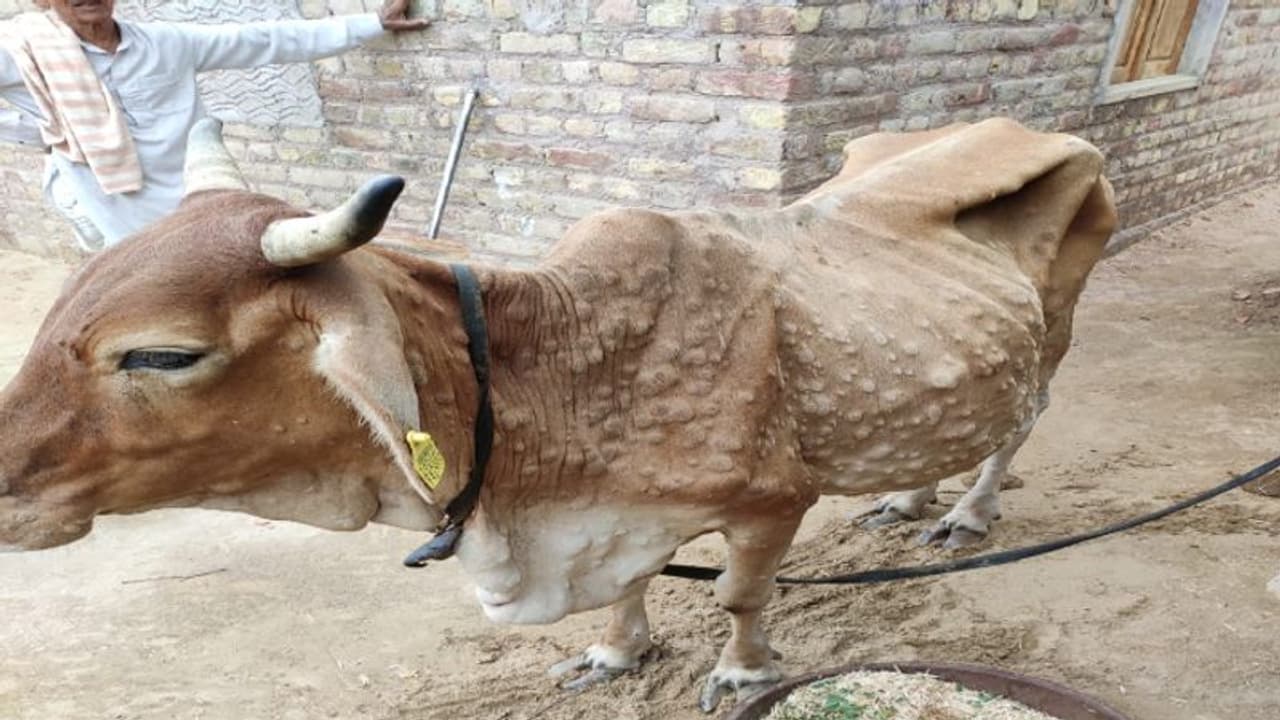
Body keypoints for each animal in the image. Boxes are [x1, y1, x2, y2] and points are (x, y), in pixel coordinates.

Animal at [0, 117, 1116, 711]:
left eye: (161, 353)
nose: (6, 490)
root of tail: (1037, 131)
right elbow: (630, 594)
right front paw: (616, 653)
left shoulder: (773, 502)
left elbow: (738, 598)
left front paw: (739, 674)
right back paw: (909, 497)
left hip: (1057, 331)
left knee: (1019, 425)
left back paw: (964, 513)